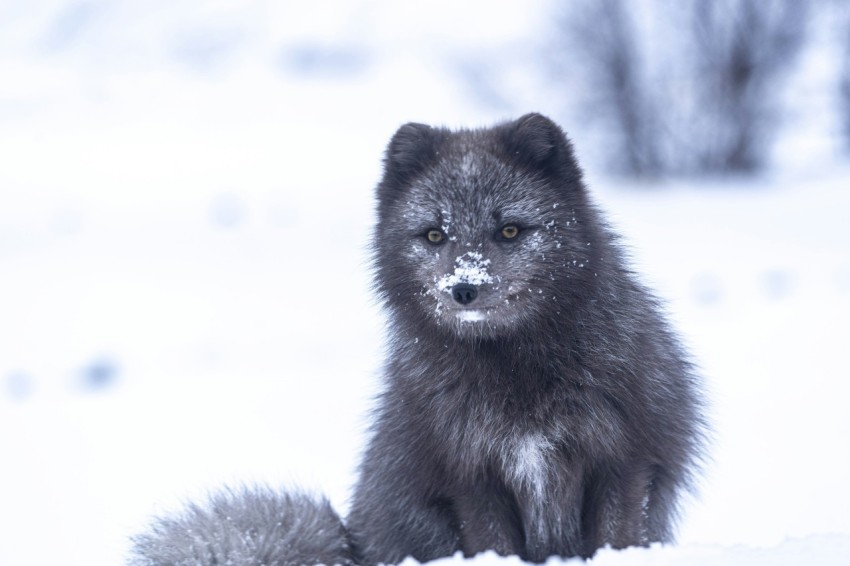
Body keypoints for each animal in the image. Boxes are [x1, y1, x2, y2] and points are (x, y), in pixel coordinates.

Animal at [130, 113, 706, 565]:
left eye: (510, 230)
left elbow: (616, 536)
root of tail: (354, 547)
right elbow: (493, 542)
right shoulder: (470, 476)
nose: (464, 288)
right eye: (434, 234)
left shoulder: (623, 460)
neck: (515, 372)